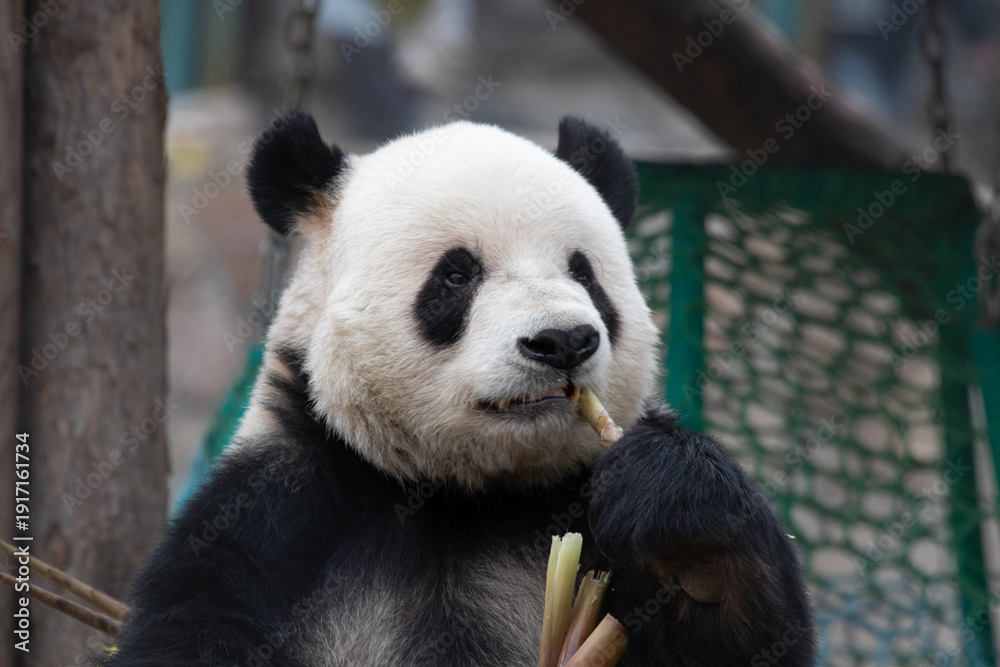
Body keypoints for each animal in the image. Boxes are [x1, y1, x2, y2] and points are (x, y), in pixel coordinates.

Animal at [103, 113, 815, 666]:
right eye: (456, 275)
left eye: (584, 273)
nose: (562, 342)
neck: (462, 496)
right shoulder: (277, 520)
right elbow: (194, 620)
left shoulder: (587, 523)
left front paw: (690, 546)